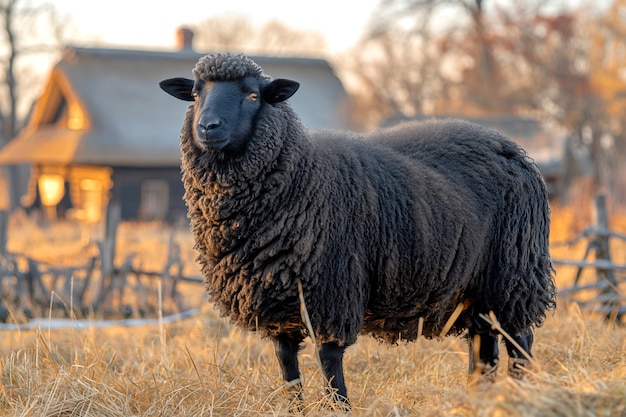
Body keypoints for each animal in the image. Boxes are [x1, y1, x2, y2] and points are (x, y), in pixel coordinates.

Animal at [158, 52, 552, 406]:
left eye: (253, 96)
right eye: (196, 94)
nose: (207, 127)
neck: (300, 174)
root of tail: (511, 148)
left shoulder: (333, 290)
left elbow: (330, 365)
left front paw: (339, 407)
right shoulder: (279, 306)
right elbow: (288, 369)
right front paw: (295, 409)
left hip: (514, 275)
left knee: (519, 341)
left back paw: (520, 396)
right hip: (475, 288)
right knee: (484, 346)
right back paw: (478, 399)